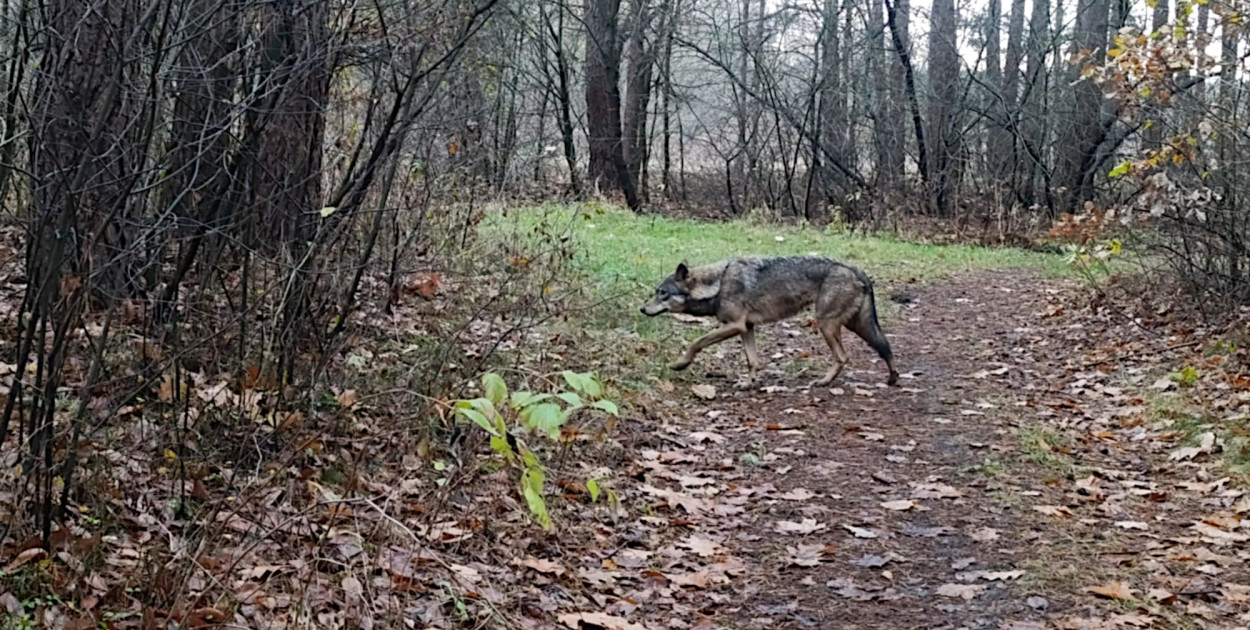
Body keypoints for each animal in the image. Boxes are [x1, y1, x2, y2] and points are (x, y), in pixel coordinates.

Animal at [645, 255, 900, 385]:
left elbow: (696, 343)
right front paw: (747, 384)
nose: (642, 308)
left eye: (663, 293)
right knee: (885, 347)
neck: (718, 284)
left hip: (826, 325)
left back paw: (823, 382)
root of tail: (856, 270)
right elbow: (752, 361)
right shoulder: (746, 328)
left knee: (843, 357)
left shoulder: (734, 325)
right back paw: (893, 378)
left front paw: (680, 364)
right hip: (856, 326)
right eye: (656, 292)